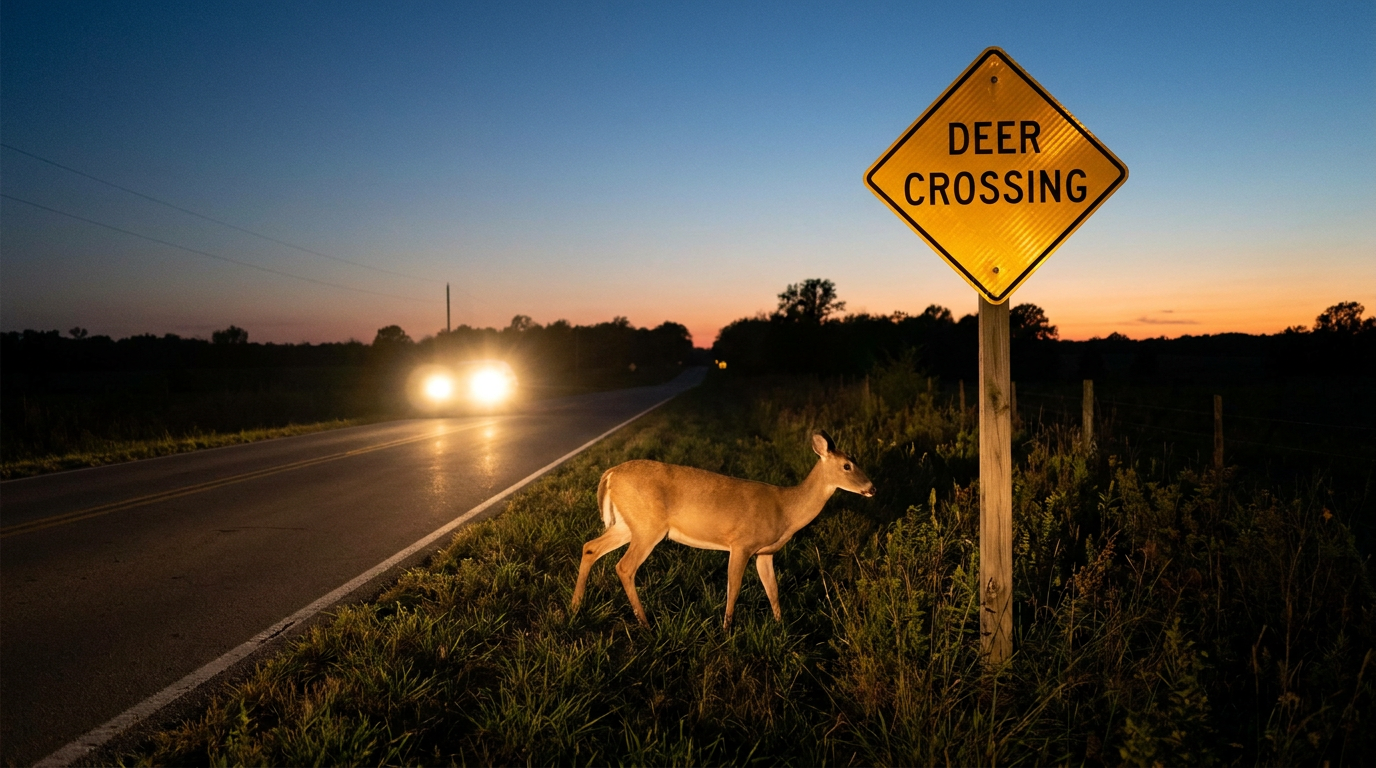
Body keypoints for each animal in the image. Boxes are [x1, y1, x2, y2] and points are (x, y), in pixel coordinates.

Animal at [570, 431, 875, 629]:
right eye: (847, 465)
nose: (872, 488)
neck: (786, 509)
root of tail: (609, 474)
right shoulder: (741, 543)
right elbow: (734, 587)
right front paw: (727, 629)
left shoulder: (765, 553)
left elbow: (772, 589)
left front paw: (781, 625)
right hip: (648, 526)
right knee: (624, 566)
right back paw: (644, 623)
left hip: (627, 524)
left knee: (590, 547)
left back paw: (575, 608)